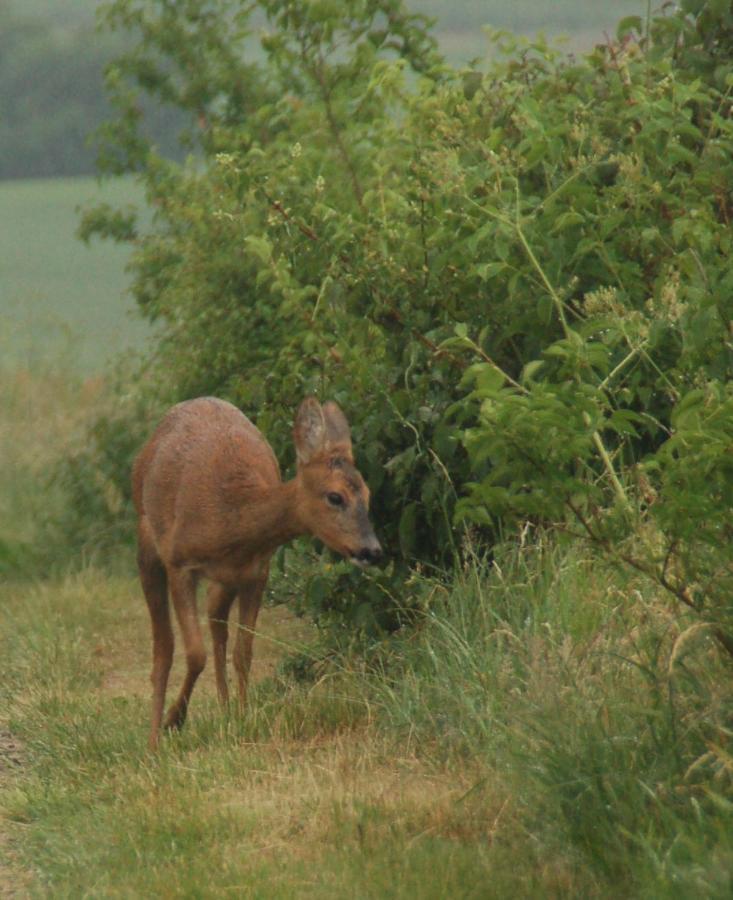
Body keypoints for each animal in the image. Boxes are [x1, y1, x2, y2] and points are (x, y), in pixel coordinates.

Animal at [133, 398, 384, 748]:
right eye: (335, 496)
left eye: (368, 495)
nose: (372, 550)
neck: (230, 517)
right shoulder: (178, 561)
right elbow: (194, 653)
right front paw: (173, 720)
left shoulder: (256, 573)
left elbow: (243, 653)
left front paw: (242, 717)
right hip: (147, 541)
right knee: (164, 645)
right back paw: (155, 738)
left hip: (226, 580)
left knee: (216, 620)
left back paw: (225, 710)